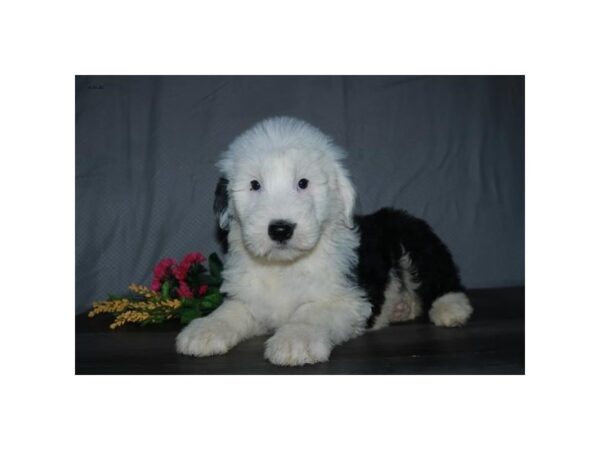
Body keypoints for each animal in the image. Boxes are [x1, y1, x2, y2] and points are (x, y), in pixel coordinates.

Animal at [176, 117, 472, 366]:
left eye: (303, 183)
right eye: (255, 185)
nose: (280, 229)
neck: (284, 267)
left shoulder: (346, 300)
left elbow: (311, 313)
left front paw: (296, 340)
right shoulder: (250, 299)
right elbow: (231, 311)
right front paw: (204, 330)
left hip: (414, 240)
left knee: (442, 277)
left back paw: (451, 309)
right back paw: (402, 307)